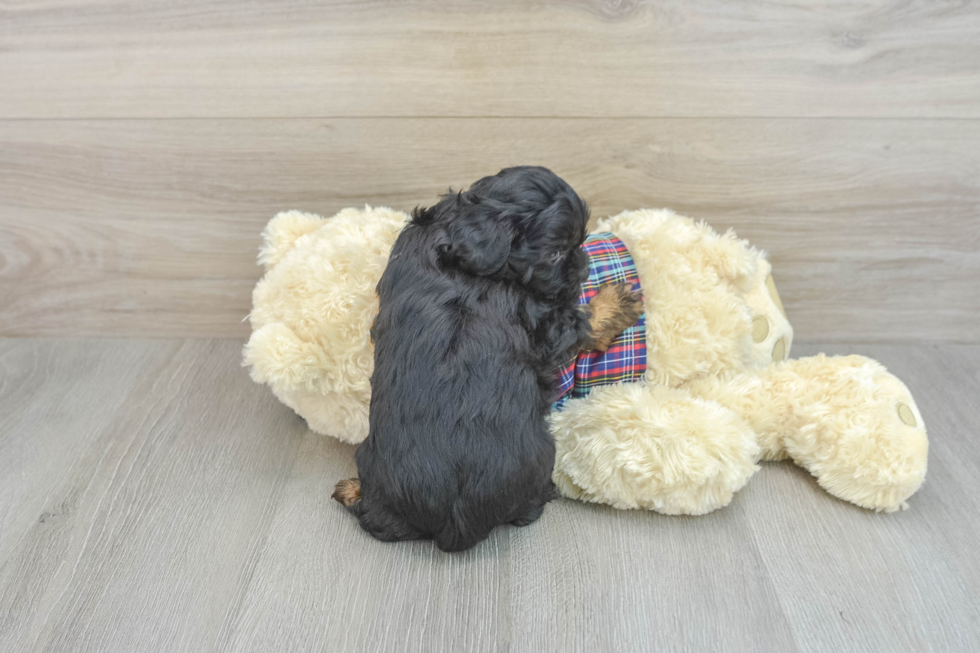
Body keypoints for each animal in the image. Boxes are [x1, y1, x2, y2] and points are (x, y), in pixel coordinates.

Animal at [336, 164, 644, 552]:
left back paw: (352, 490)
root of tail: (455, 523)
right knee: (529, 509)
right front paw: (616, 303)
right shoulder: (547, 326)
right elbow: (582, 322)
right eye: (556, 254)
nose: (584, 268)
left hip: (371, 463)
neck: (458, 237)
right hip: (542, 458)